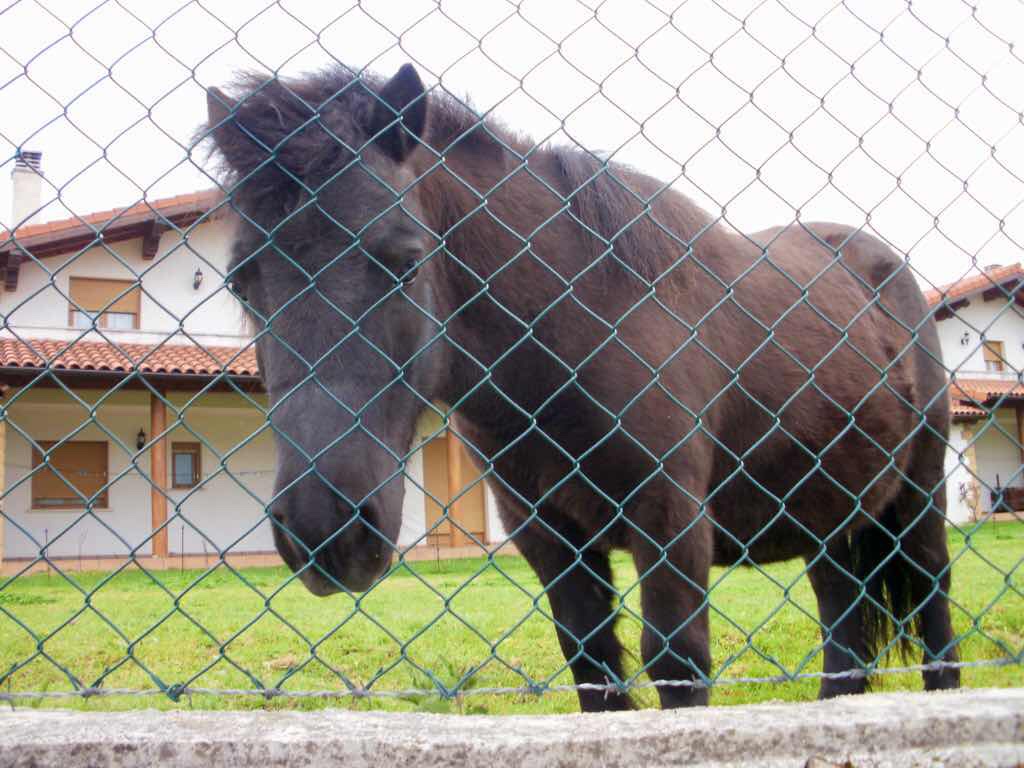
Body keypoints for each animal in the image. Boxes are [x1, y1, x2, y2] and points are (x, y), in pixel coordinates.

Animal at [204, 62, 960, 711]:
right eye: (240, 280)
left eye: (405, 261)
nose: (324, 528)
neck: (576, 329)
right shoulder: (550, 540)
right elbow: (594, 671)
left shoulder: (672, 524)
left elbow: (677, 663)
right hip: (831, 524)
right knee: (843, 639)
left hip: (918, 505)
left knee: (936, 626)